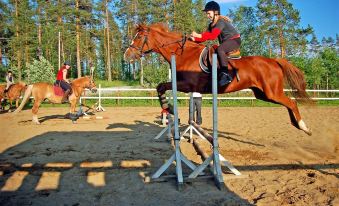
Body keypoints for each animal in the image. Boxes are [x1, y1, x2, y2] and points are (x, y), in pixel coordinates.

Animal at [125, 23, 314, 135]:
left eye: (139, 37)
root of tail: (274, 61)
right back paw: (296, 124)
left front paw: (168, 108)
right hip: (262, 94)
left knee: (292, 102)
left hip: (271, 92)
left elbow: (162, 87)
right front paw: (168, 109)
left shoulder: (187, 85)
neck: (183, 54)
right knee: (288, 103)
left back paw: (304, 127)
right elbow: (160, 87)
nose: (127, 55)